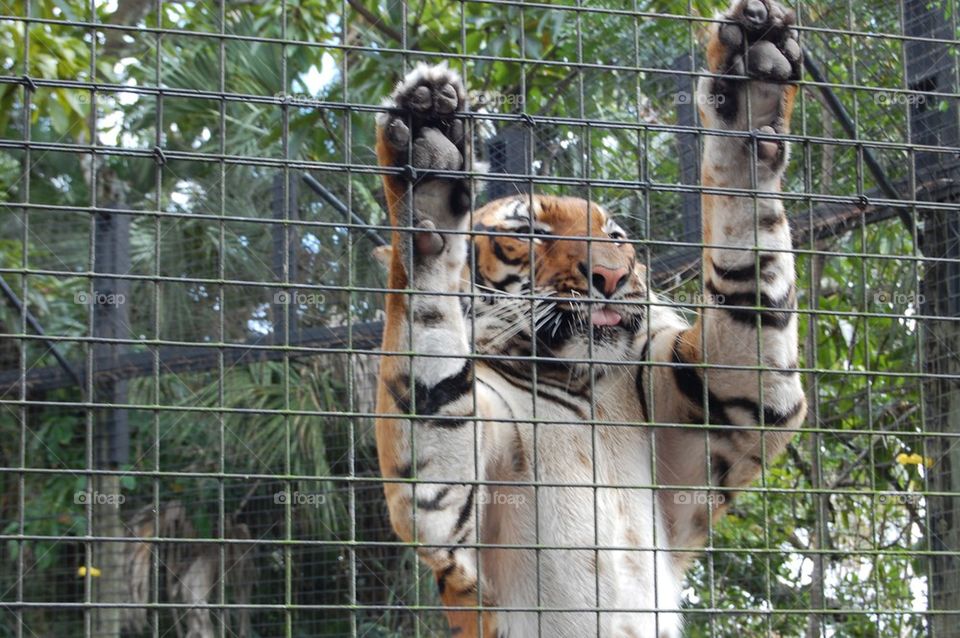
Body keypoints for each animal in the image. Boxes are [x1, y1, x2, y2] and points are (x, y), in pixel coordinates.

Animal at [373, 1, 806, 636]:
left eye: (616, 236)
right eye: (529, 233)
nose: (611, 275)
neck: (577, 386)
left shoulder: (731, 398)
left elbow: (746, 245)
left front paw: (751, 84)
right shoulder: (448, 508)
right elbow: (428, 356)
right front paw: (426, 177)